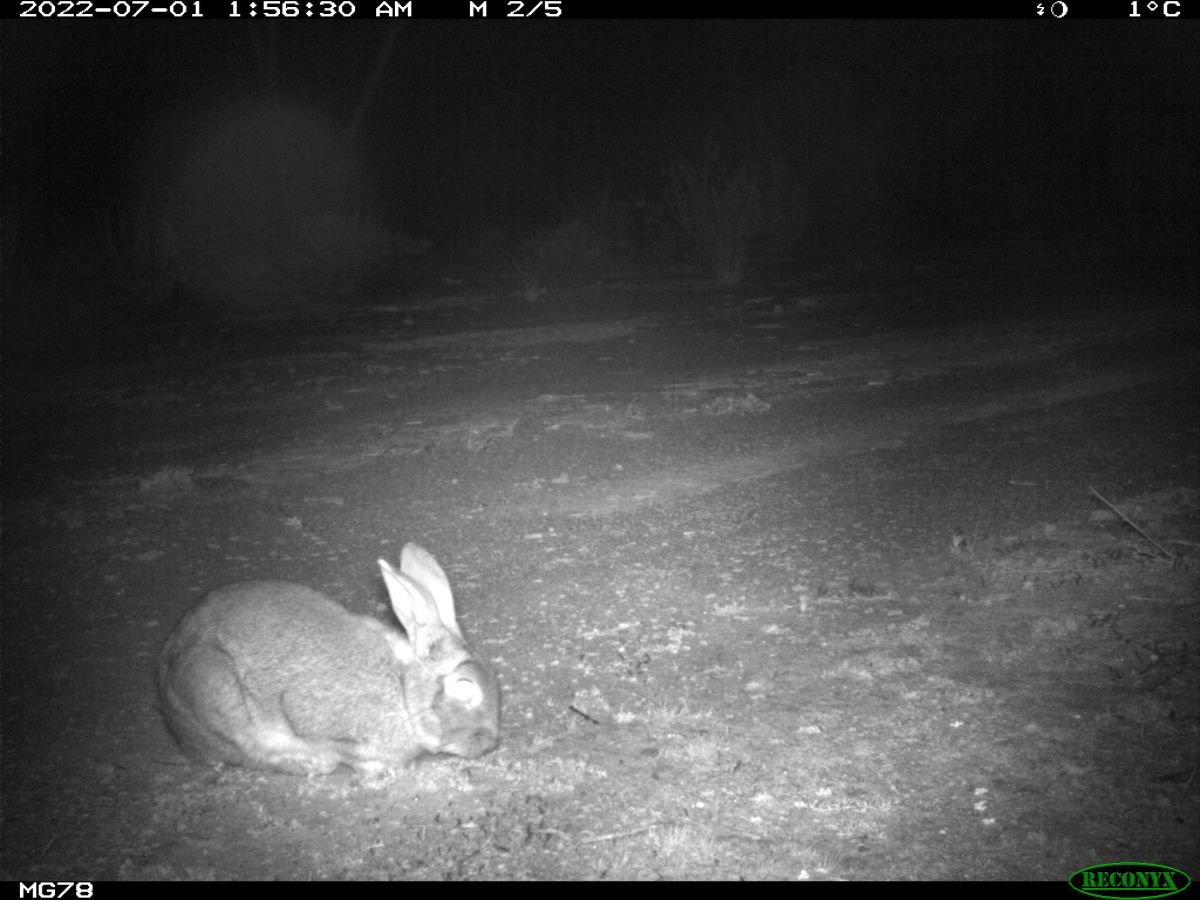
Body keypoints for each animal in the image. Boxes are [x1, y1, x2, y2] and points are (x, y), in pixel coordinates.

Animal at [157, 543, 499, 775]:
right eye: (465, 687)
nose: (490, 742)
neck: (403, 689)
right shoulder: (314, 722)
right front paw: (372, 767)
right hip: (217, 692)